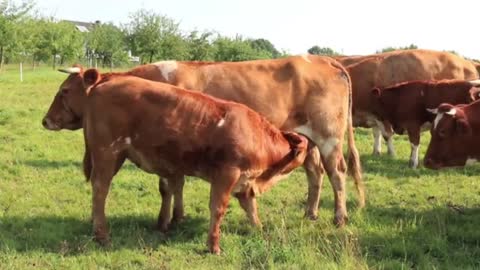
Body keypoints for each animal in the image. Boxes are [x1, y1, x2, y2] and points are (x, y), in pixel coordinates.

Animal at [43, 56, 366, 229]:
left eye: (64, 90)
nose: (45, 121)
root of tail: (324, 58)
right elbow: (175, 184)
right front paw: (176, 218)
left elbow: (168, 185)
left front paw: (168, 221)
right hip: (309, 140)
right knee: (316, 174)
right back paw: (310, 213)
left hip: (329, 137)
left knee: (337, 174)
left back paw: (339, 217)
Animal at [80, 69, 310, 253]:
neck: (256, 134)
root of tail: (108, 79)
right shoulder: (227, 174)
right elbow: (218, 208)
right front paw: (213, 246)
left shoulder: (243, 181)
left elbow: (250, 207)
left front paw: (259, 230)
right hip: (107, 153)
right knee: (100, 190)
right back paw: (102, 235)